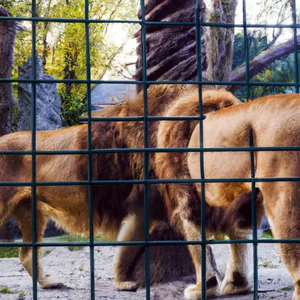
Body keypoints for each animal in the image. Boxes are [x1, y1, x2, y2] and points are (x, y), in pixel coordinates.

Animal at [156, 92, 300, 298]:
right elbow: (239, 238)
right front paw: (237, 284)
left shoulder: (189, 199)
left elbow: (198, 244)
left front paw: (202, 289)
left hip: (283, 203)